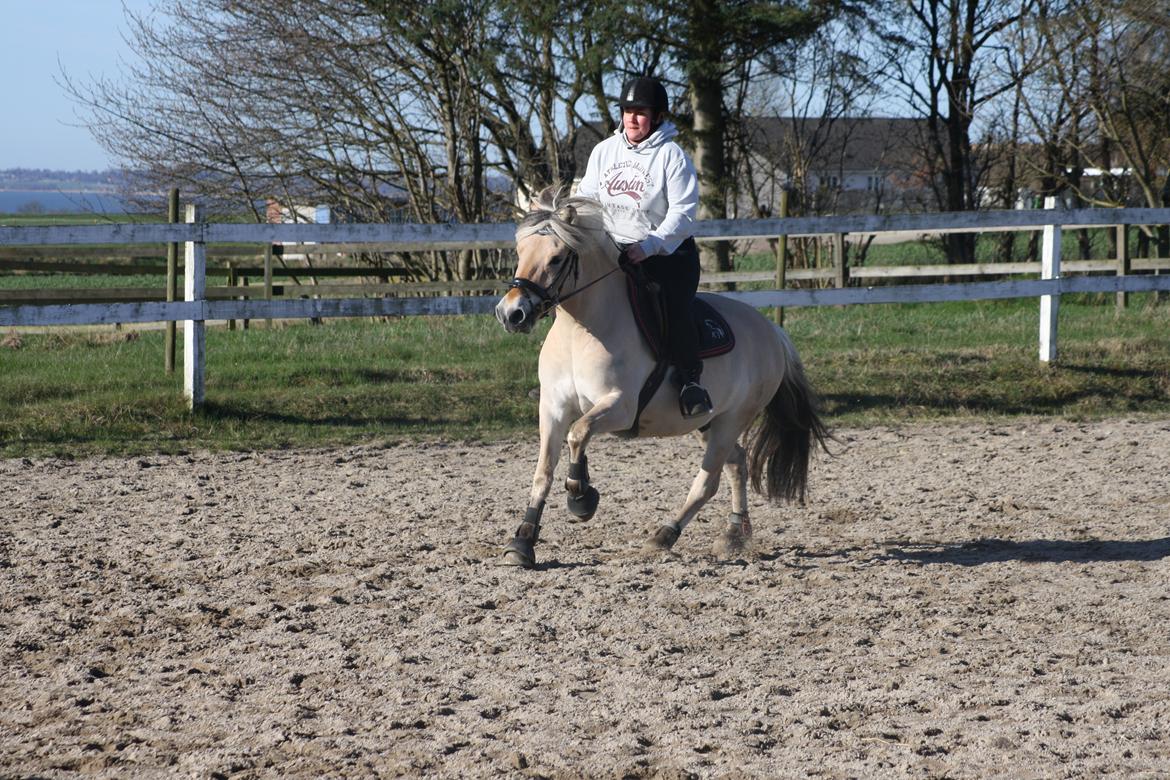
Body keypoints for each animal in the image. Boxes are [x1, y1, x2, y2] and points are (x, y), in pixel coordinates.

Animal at [493, 189, 833, 568]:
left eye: (555, 258)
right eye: (520, 252)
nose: (511, 313)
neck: (580, 331)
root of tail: (773, 332)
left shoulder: (620, 406)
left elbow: (578, 433)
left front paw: (581, 497)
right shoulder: (552, 407)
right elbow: (543, 472)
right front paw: (522, 542)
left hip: (731, 421)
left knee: (708, 481)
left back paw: (664, 535)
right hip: (707, 423)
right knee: (737, 464)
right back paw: (733, 533)